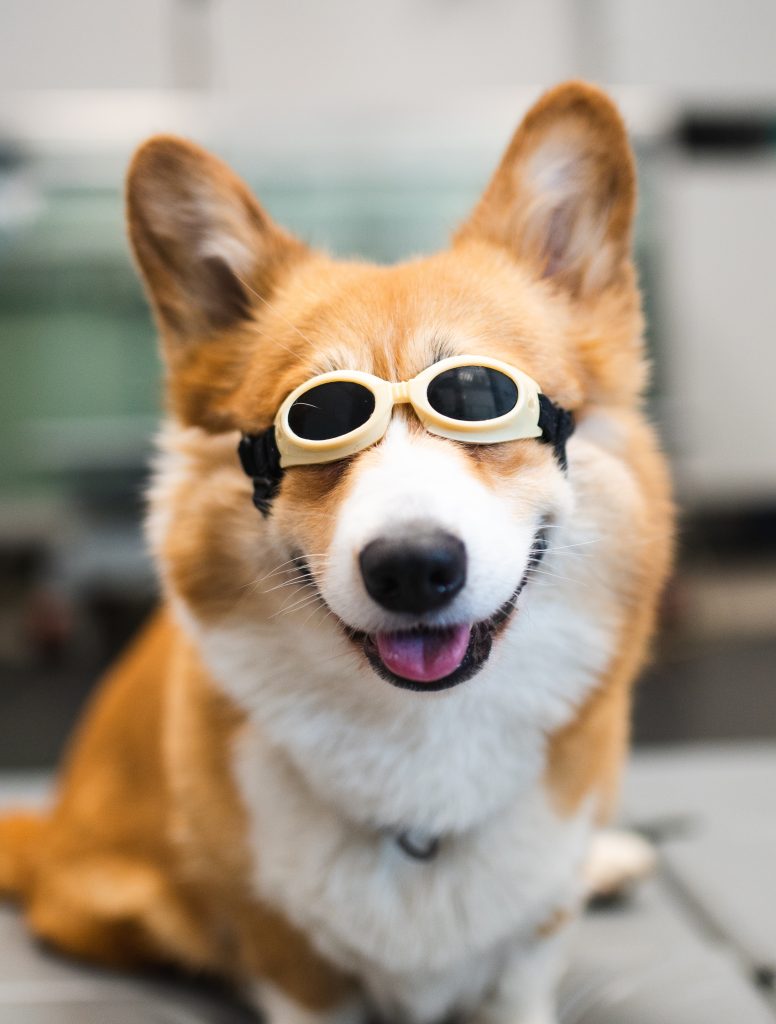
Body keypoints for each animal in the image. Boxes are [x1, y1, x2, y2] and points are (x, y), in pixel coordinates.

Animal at [0, 81, 675, 1024]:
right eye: (315, 419)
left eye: (478, 395)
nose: (413, 568)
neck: (423, 745)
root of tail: (50, 828)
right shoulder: (294, 966)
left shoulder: (530, 951)